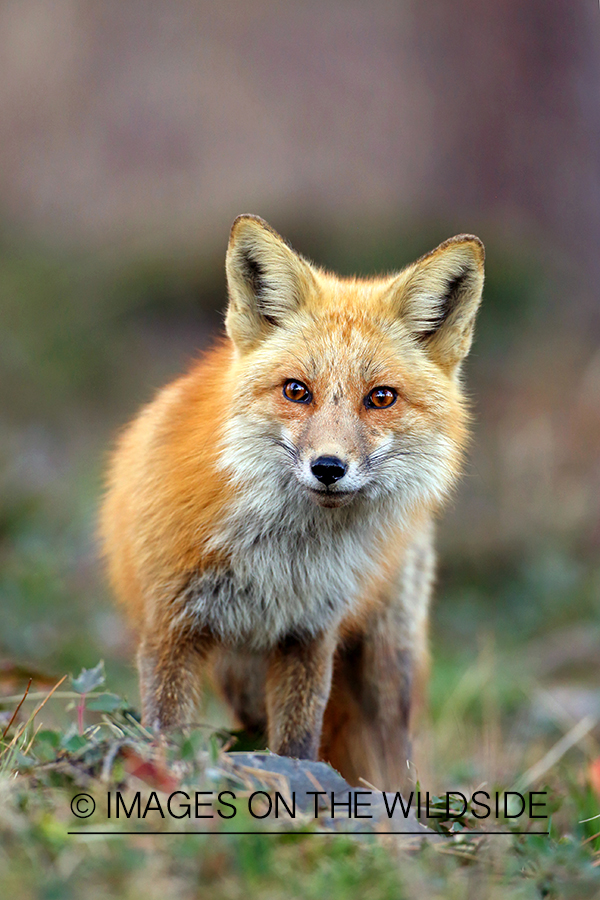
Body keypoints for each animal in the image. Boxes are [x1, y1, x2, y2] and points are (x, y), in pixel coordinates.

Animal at [99, 214, 484, 790]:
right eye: (296, 390)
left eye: (382, 398)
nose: (328, 468)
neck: (284, 559)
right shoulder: (172, 626)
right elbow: (167, 728)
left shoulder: (310, 634)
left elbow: (300, 741)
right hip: (239, 676)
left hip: (386, 667)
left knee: (396, 751)